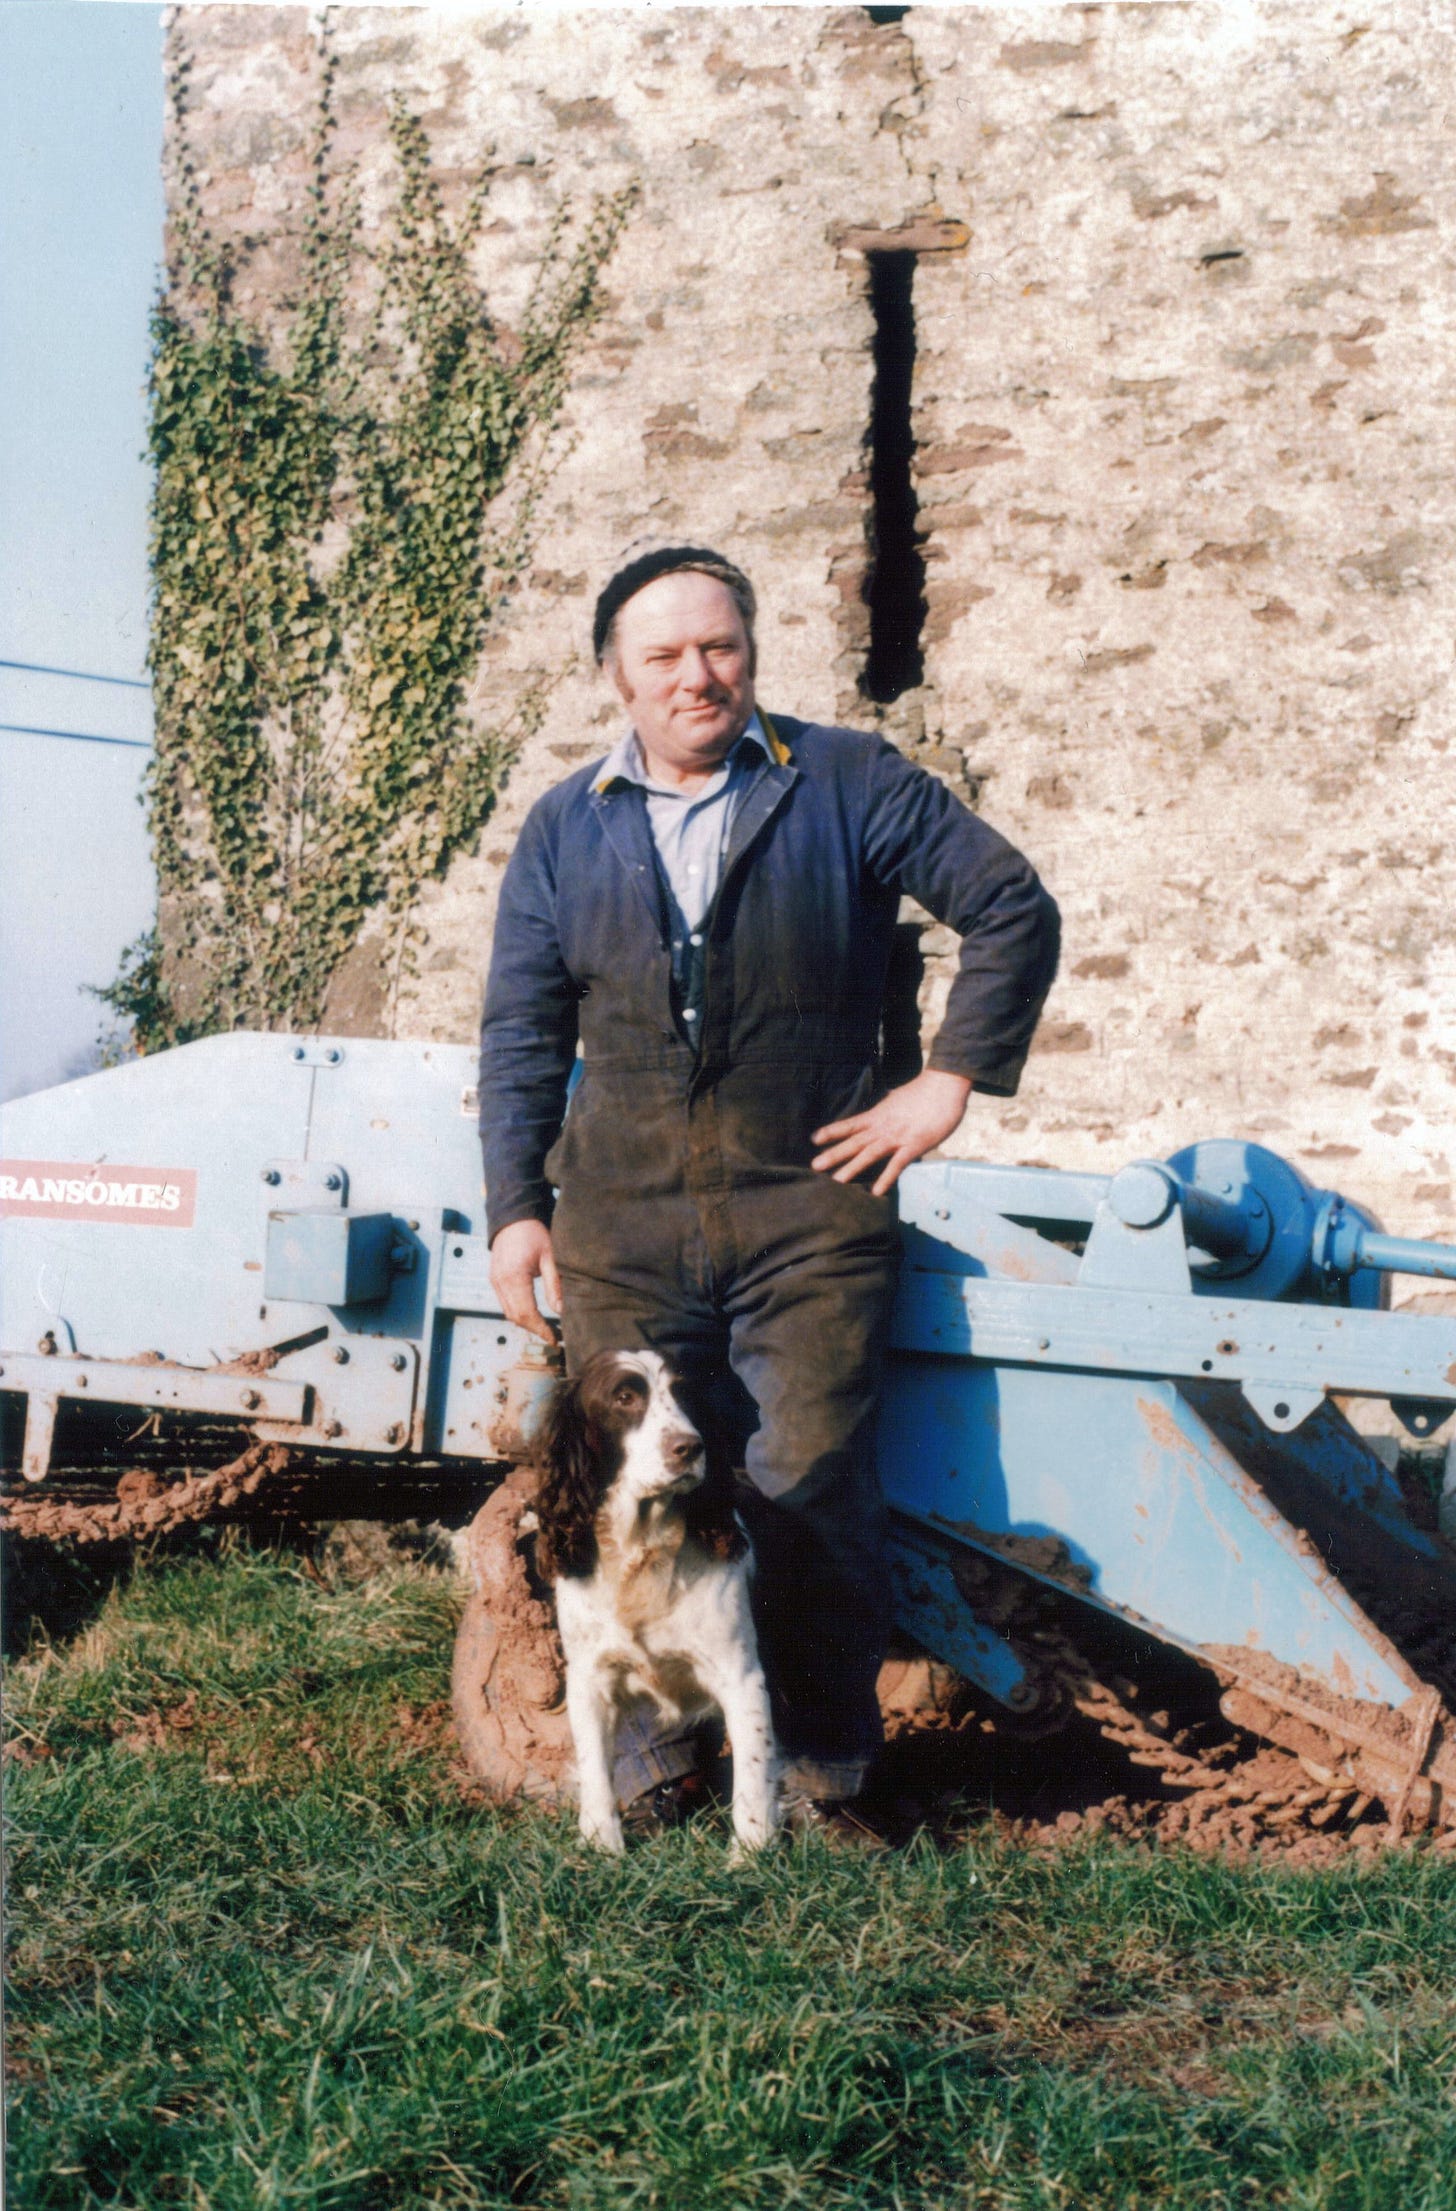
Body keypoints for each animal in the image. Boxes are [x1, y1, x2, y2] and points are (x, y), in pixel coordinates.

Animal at [532, 1353, 782, 1857]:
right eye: (625, 1397)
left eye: (685, 1394)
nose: (689, 1448)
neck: (643, 1550)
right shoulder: (589, 1677)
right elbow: (595, 1771)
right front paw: (601, 1846)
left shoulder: (742, 1675)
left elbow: (754, 1771)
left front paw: (750, 1856)